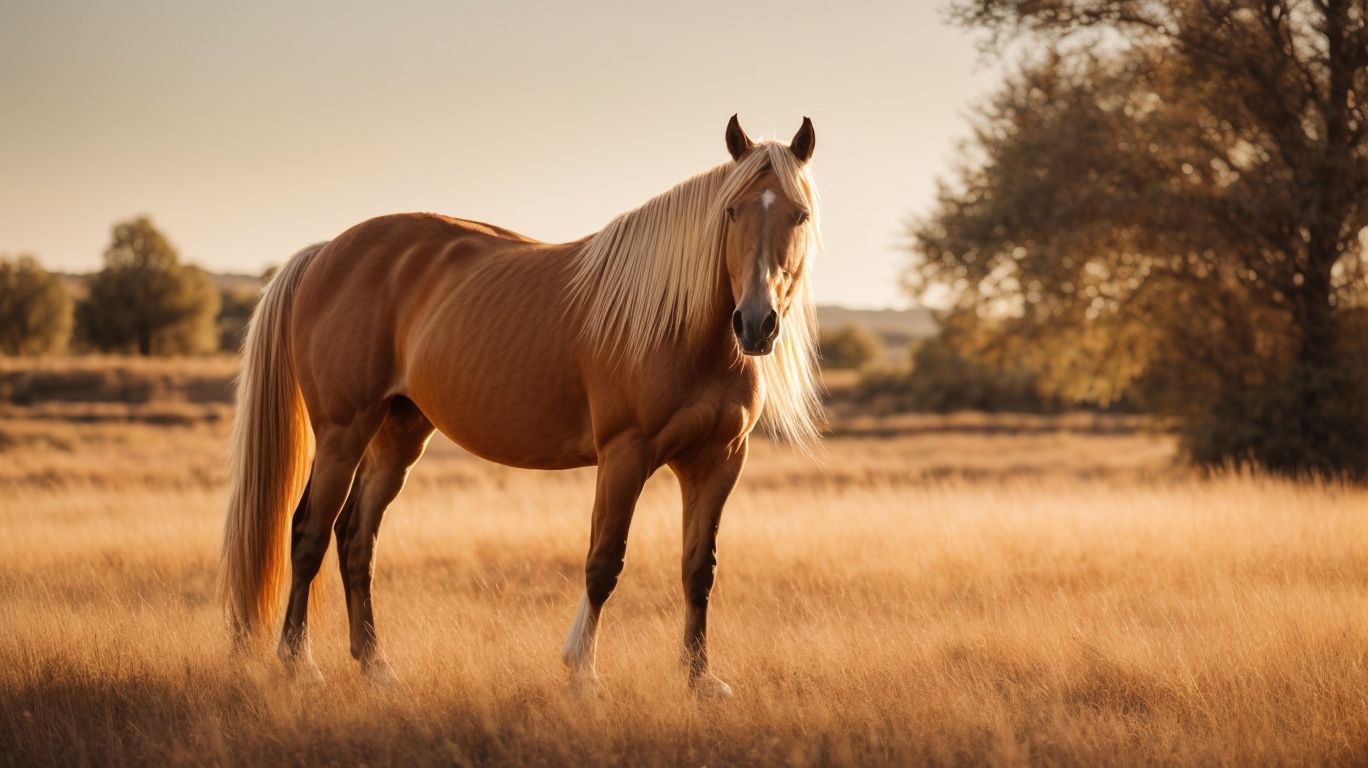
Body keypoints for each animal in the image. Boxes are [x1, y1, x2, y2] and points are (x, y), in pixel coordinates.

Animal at [219, 115, 823, 698]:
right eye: (731, 211)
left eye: (800, 215)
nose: (756, 323)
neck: (682, 327)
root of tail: (324, 252)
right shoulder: (625, 455)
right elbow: (604, 562)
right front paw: (582, 673)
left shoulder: (718, 462)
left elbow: (699, 570)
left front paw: (700, 679)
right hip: (343, 432)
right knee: (309, 534)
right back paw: (299, 666)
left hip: (398, 436)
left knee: (355, 539)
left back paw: (376, 667)